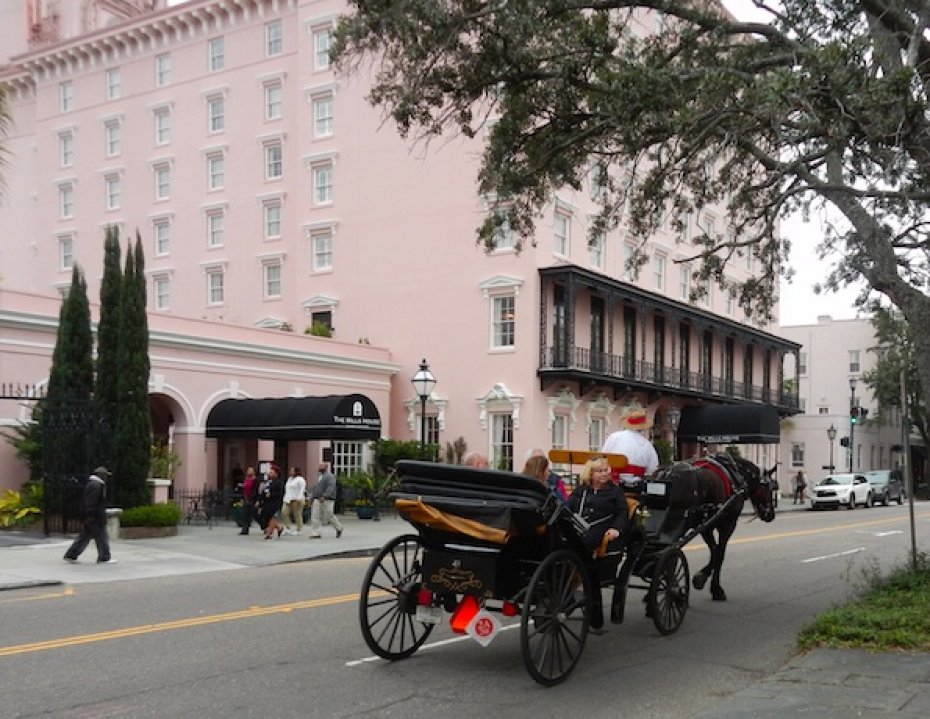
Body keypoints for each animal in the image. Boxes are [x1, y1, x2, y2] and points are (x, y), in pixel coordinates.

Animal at [656, 456, 780, 600]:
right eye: (767, 487)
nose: (770, 514)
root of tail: (668, 473)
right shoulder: (727, 523)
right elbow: (720, 553)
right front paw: (712, 586)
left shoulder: (705, 525)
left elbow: (714, 551)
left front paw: (703, 579)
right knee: (667, 554)